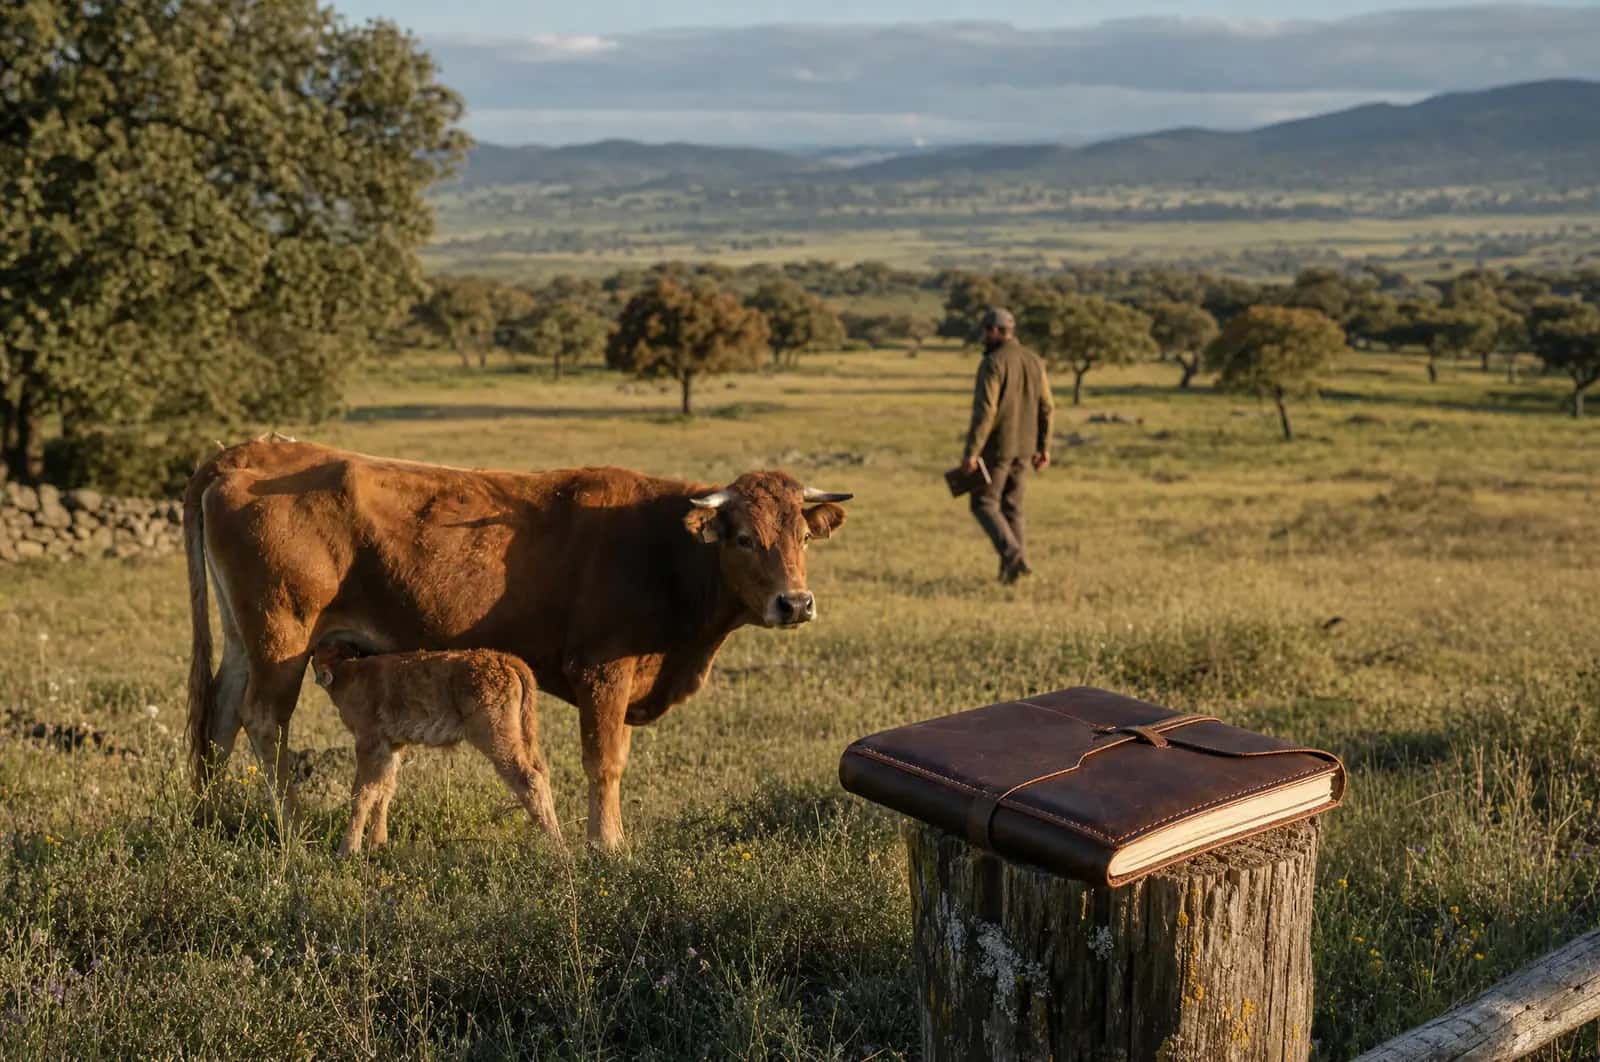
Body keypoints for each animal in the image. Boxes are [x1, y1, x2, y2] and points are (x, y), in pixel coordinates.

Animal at [308, 642, 562, 855]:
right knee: (542, 771)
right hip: (524, 734)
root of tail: (505, 660)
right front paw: (377, 844)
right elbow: (384, 789)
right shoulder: (392, 746)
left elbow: (362, 793)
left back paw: (554, 846)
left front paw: (348, 850)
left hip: (495, 738)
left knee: (528, 778)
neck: (348, 671)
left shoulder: (368, 743)